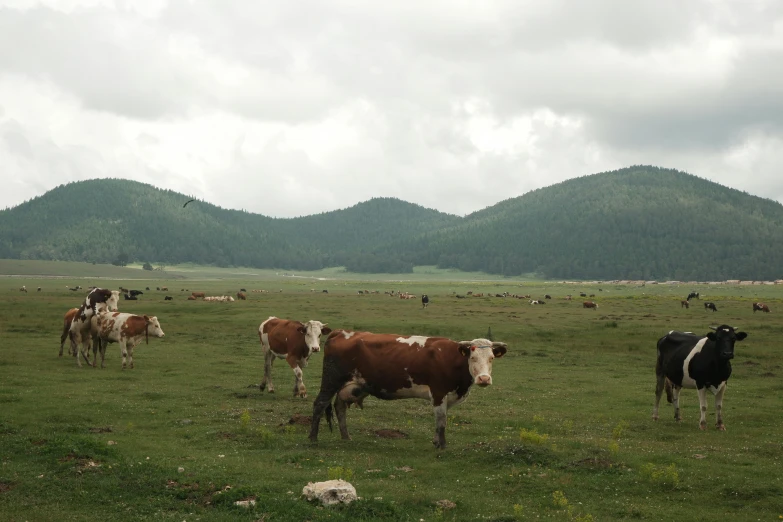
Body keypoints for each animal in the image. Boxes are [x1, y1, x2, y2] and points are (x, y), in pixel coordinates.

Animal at [310, 330, 512, 446]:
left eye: (491, 358)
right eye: (473, 357)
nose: (484, 378)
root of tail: (341, 332)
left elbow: (441, 421)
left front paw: (436, 442)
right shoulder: (439, 392)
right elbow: (441, 421)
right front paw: (441, 445)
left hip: (348, 385)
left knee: (339, 407)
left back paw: (346, 437)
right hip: (331, 380)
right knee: (320, 404)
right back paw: (313, 439)